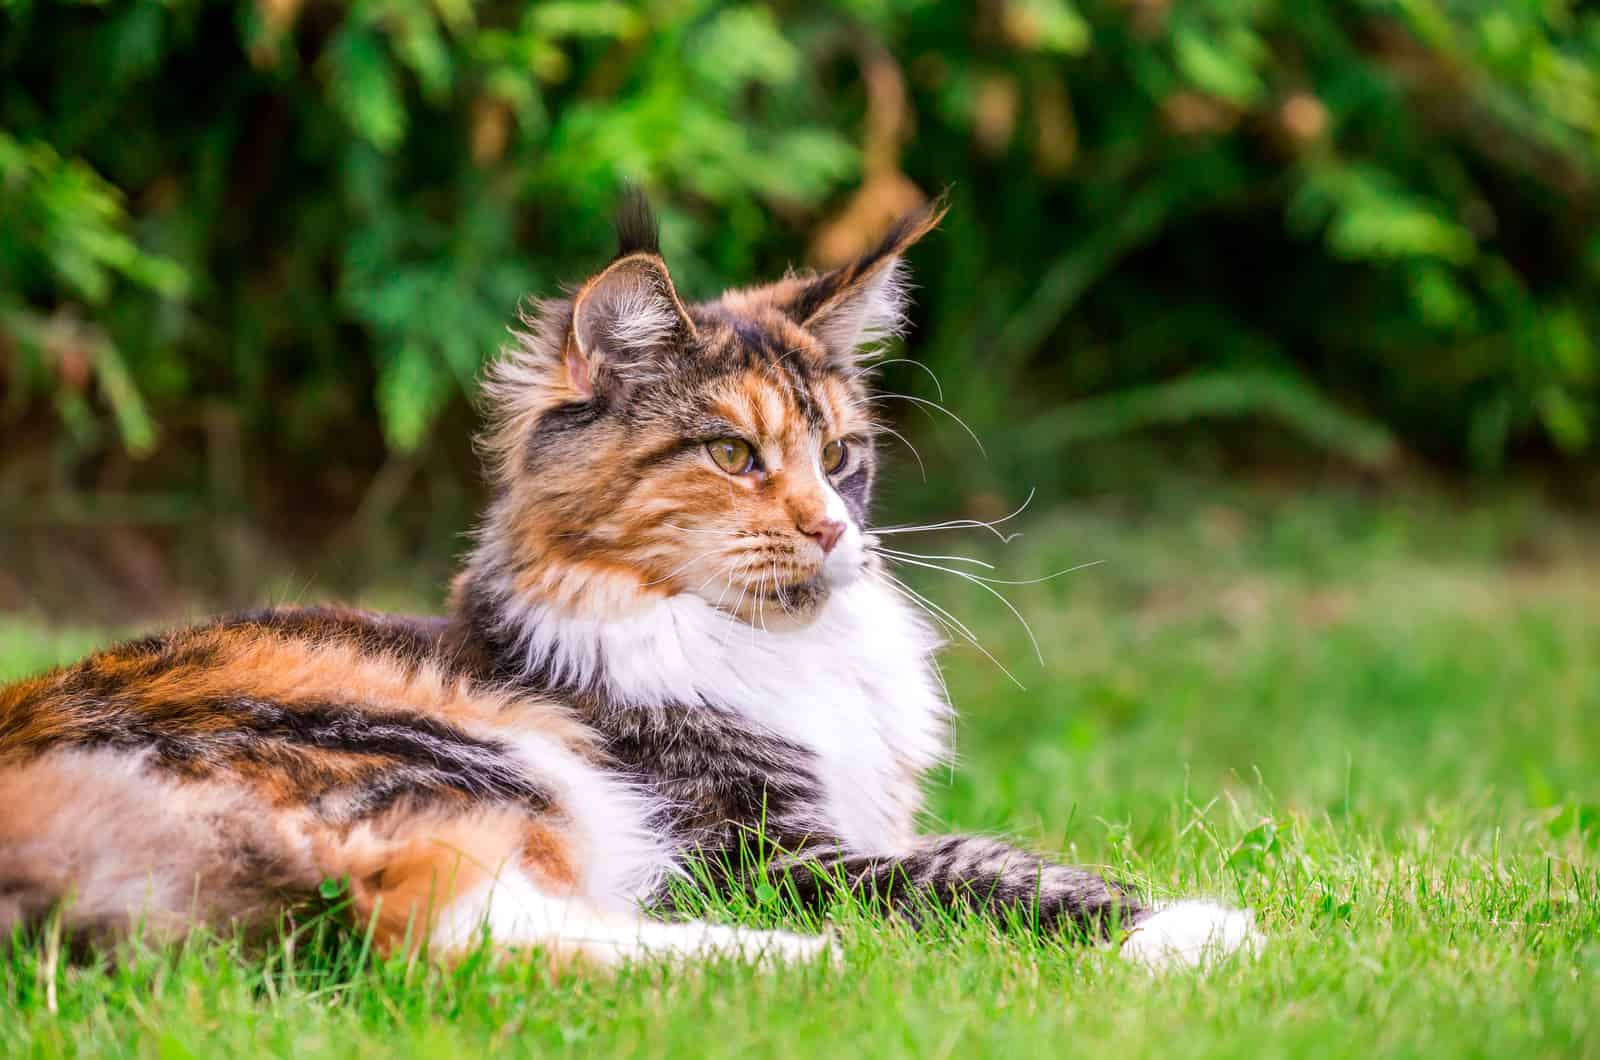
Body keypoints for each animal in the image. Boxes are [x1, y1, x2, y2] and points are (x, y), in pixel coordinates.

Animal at [0, 191, 1248, 973]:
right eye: (734, 455)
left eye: (841, 454)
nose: (833, 528)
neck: (783, 650)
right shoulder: (746, 848)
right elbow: (971, 868)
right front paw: (1188, 929)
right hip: (475, 757)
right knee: (429, 928)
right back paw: (803, 964)